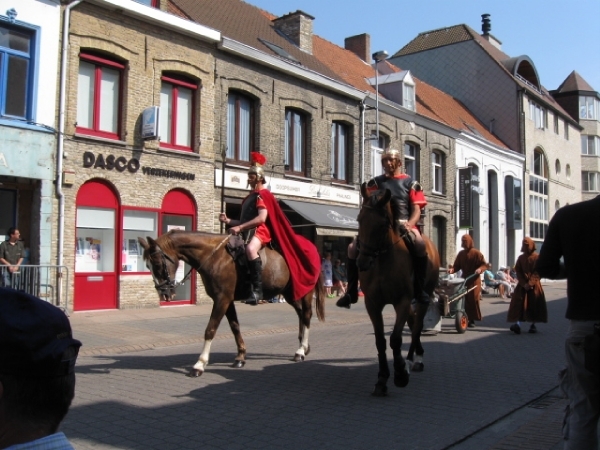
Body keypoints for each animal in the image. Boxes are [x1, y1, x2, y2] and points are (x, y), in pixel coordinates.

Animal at [138, 230, 326, 378]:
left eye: (157, 263)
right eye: (147, 265)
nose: (164, 293)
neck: (215, 256)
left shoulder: (222, 299)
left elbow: (210, 329)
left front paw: (199, 364)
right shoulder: (226, 300)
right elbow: (235, 327)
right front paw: (240, 357)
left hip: (305, 292)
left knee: (306, 315)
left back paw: (300, 351)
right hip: (290, 293)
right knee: (301, 314)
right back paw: (304, 346)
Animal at [356, 185, 440, 396]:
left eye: (382, 224)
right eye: (359, 219)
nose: (363, 262)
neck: (382, 262)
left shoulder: (402, 301)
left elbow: (395, 338)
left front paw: (400, 374)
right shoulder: (372, 304)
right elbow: (380, 341)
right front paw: (381, 379)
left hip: (423, 297)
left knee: (417, 326)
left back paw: (412, 361)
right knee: (412, 322)